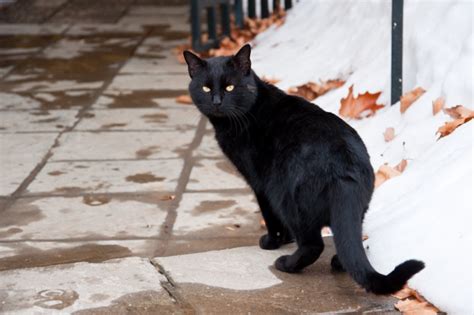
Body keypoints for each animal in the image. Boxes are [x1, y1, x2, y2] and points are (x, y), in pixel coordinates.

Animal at [183, 45, 424, 296]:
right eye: (205, 88)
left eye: (230, 87)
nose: (216, 101)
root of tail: (343, 167)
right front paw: (285, 240)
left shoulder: (260, 184)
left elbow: (270, 217)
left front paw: (272, 242)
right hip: (356, 208)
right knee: (349, 237)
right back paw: (338, 262)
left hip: (287, 198)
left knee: (313, 244)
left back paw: (286, 264)